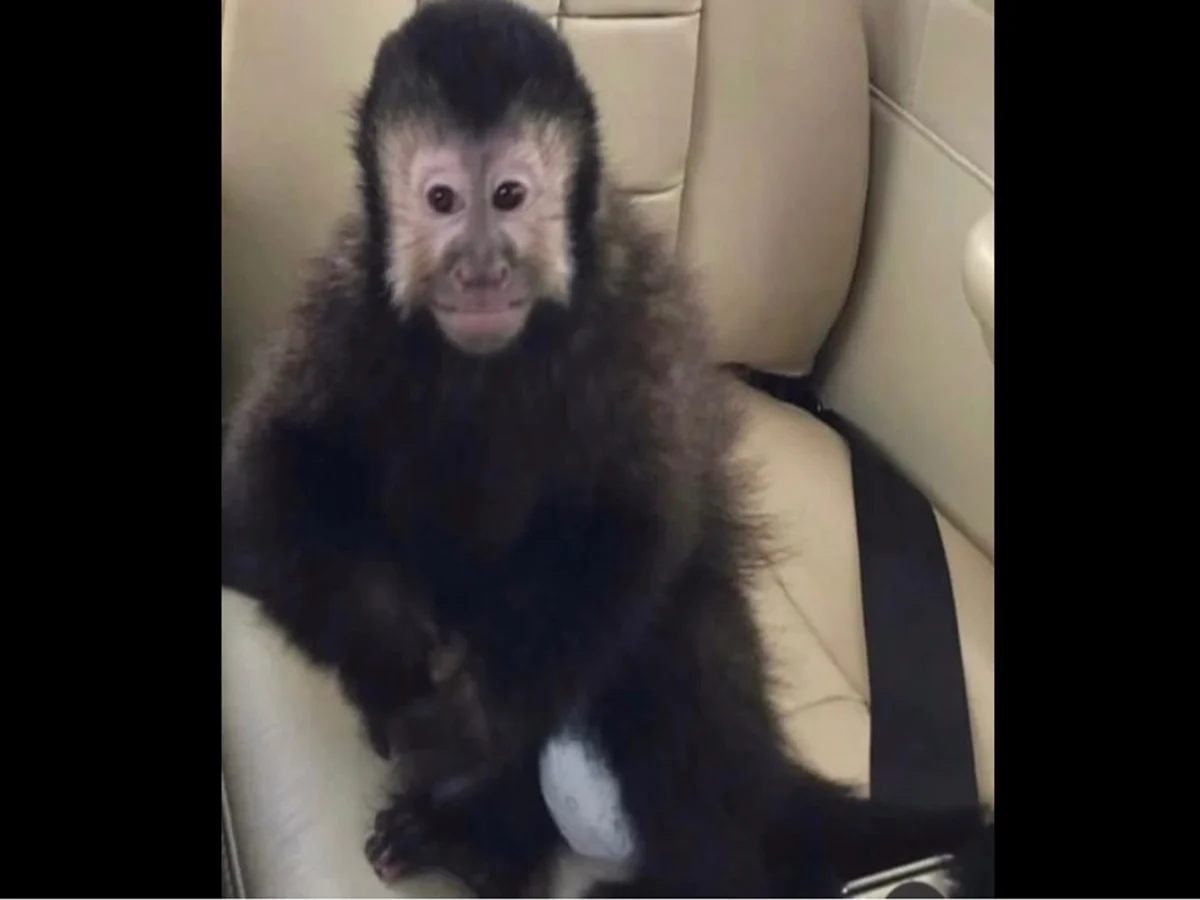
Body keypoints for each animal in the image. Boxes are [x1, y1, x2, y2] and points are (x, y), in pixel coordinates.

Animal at [220, 0, 995, 896]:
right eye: (442, 199)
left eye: (510, 196)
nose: (480, 267)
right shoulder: (345, 303)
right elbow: (267, 479)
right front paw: (392, 656)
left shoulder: (632, 311)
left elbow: (636, 527)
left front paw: (480, 712)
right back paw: (487, 835)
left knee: (676, 643)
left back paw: (655, 862)